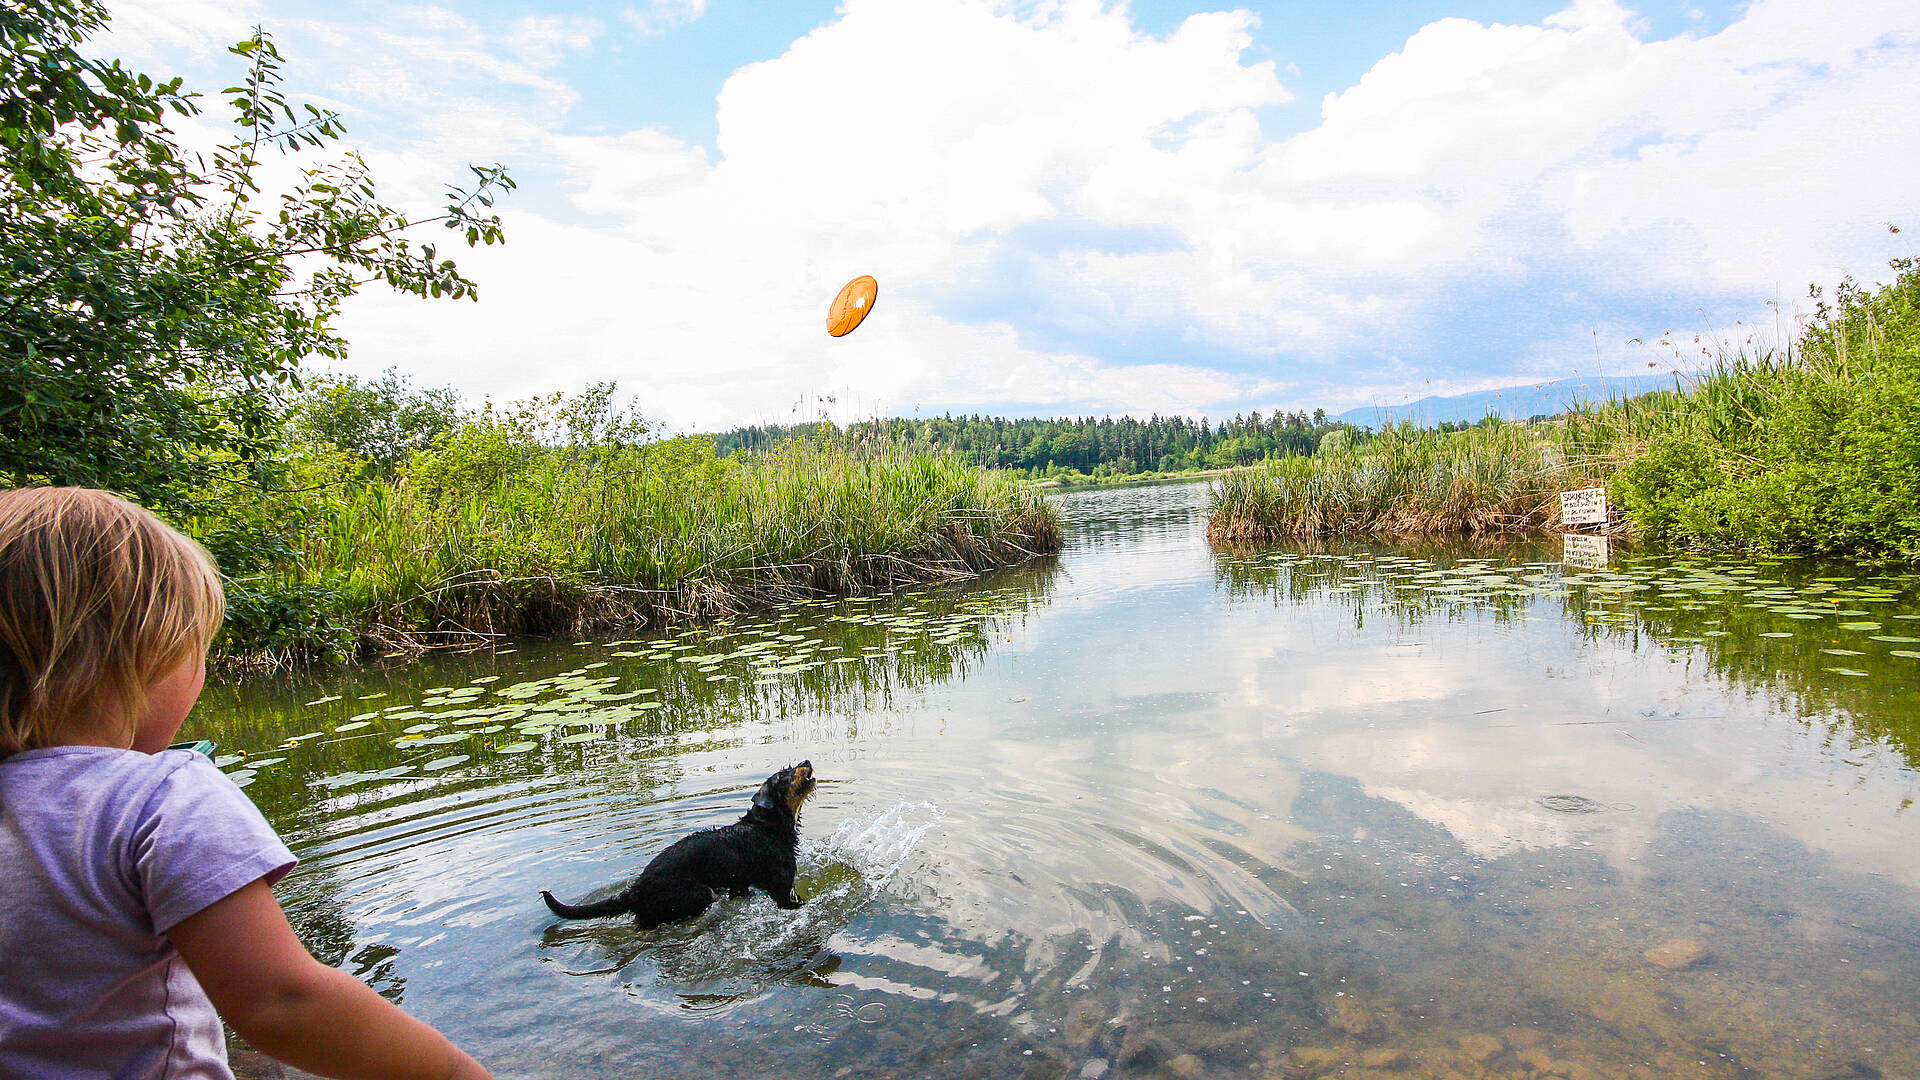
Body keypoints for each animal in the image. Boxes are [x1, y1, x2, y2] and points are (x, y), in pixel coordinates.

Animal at [541, 757, 817, 926]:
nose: (806, 762)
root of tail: (637, 889)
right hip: (699, 894)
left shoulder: (741, 886)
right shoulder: (782, 891)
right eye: (783, 775)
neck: (767, 827)